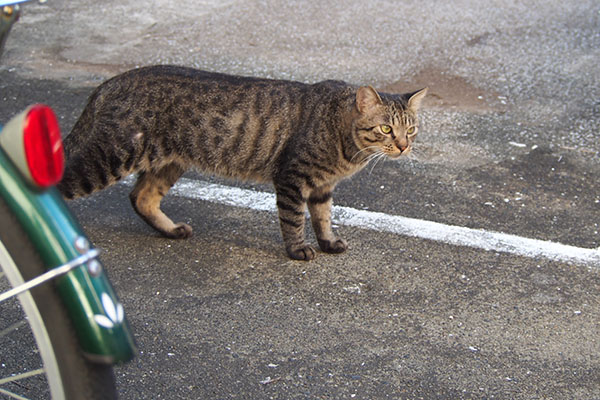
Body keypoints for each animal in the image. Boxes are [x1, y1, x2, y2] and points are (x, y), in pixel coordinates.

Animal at [58, 65, 426, 260]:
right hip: (112, 156)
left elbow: (322, 218)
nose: (404, 146)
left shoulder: (322, 187)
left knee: (141, 197)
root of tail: (112, 81)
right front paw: (298, 249)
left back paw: (172, 230)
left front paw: (328, 242)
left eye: (411, 129)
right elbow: (294, 219)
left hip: (169, 163)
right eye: (385, 129)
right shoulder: (292, 178)